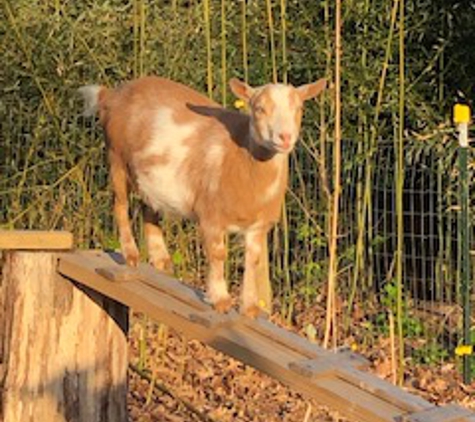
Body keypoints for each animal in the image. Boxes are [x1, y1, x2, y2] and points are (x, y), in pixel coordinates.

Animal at [79, 75, 328, 316]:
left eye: (299, 108)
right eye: (259, 108)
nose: (284, 137)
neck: (240, 158)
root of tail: (111, 94)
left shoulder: (258, 225)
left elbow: (253, 260)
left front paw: (249, 309)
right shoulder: (211, 214)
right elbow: (218, 254)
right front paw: (221, 300)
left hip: (148, 176)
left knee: (147, 207)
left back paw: (161, 259)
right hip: (117, 158)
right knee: (120, 204)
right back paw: (131, 254)